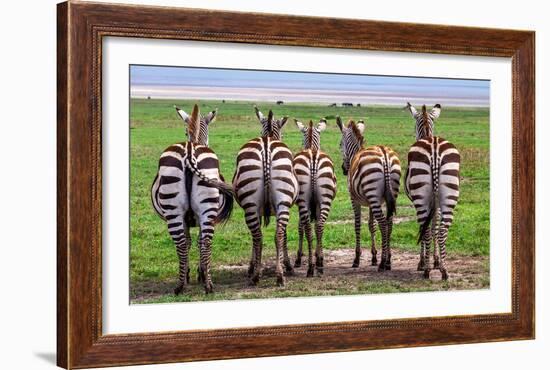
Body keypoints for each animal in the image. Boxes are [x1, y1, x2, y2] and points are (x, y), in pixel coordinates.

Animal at [151, 103, 235, 292]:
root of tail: (189, 151)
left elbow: (190, 241)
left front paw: (193, 273)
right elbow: (193, 241)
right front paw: (197, 273)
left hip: (178, 211)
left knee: (186, 243)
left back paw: (185, 284)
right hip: (203, 210)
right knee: (203, 242)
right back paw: (205, 284)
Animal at [234, 106, 302, 286]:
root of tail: (266, 145)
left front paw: (251, 266)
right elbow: (284, 236)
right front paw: (286, 264)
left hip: (252, 205)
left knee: (259, 236)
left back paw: (257, 275)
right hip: (282, 202)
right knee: (277, 234)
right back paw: (279, 275)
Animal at [294, 120, 336, 276]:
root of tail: (312, 155)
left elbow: (300, 227)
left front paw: (299, 258)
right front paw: (318, 256)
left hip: (304, 200)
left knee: (309, 228)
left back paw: (312, 267)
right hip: (325, 199)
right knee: (319, 226)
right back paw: (318, 264)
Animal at [336, 117, 402, 270]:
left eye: (340, 144)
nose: (344, 169)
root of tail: (384, 154)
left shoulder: (354, 199)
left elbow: (358, 225)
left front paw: (357, 259)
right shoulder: (372, 202)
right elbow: (372, 226)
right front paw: (373, 257)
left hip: (373, 193)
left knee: (383, 223)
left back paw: (383, 263)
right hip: (387, 195)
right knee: (389, 223)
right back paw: (388, 260)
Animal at [406, 102, 462, 278]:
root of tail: (435, 147)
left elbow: (426, 229)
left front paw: (423, 262)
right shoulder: (436, 205)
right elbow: (435, 227)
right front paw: (437, 261)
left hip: (421, 198)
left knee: (425, 230)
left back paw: (426, 269)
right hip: (450, 195)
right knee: (443, 229)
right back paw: (444, 270)